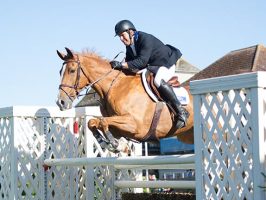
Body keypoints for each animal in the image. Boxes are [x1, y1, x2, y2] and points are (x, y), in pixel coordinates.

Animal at [56, 47, 193, 152]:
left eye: (72, 70)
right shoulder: (119, 128)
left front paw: (115, 144)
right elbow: (93, 122)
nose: (60, 102)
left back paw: (182, 116)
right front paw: (110, 143)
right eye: (60, 71)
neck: (115, 86)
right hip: (187, 136)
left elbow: (103, 121)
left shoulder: (135, 126)